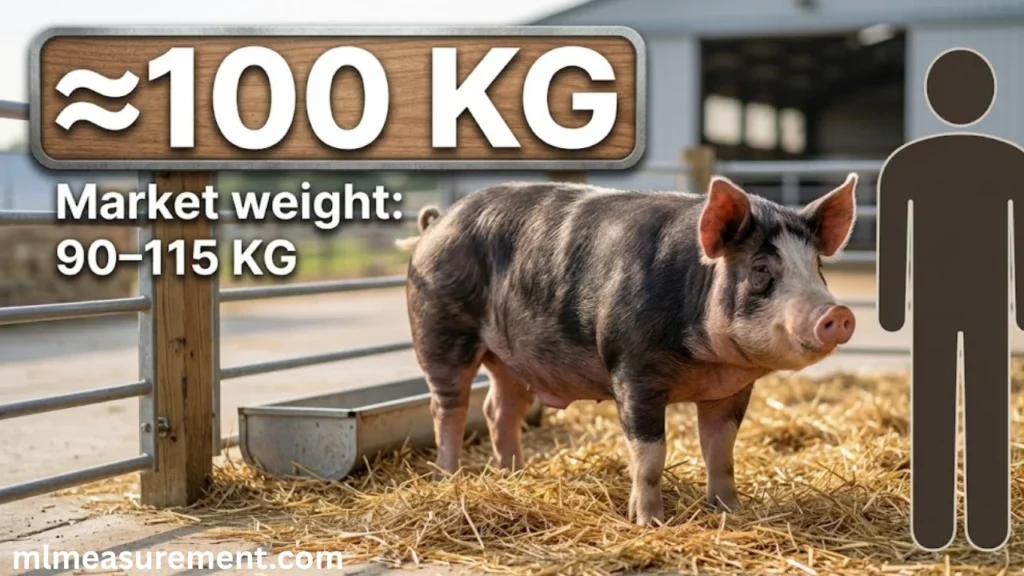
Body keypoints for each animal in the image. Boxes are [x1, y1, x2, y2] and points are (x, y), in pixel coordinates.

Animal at [397, 173, 858, 526]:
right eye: (761, 269)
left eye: (817, 268)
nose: (837, 312)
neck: (707, 362)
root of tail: (436, 222)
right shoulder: (633, 370)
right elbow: (651, 455)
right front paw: (650, 522)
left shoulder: (730, 390)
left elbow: (721, 451)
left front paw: (731, 510)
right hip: (440, 331)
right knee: (448, 408)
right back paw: (448, 477)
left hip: (513, 360)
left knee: (499, 410)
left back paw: (515, 474)